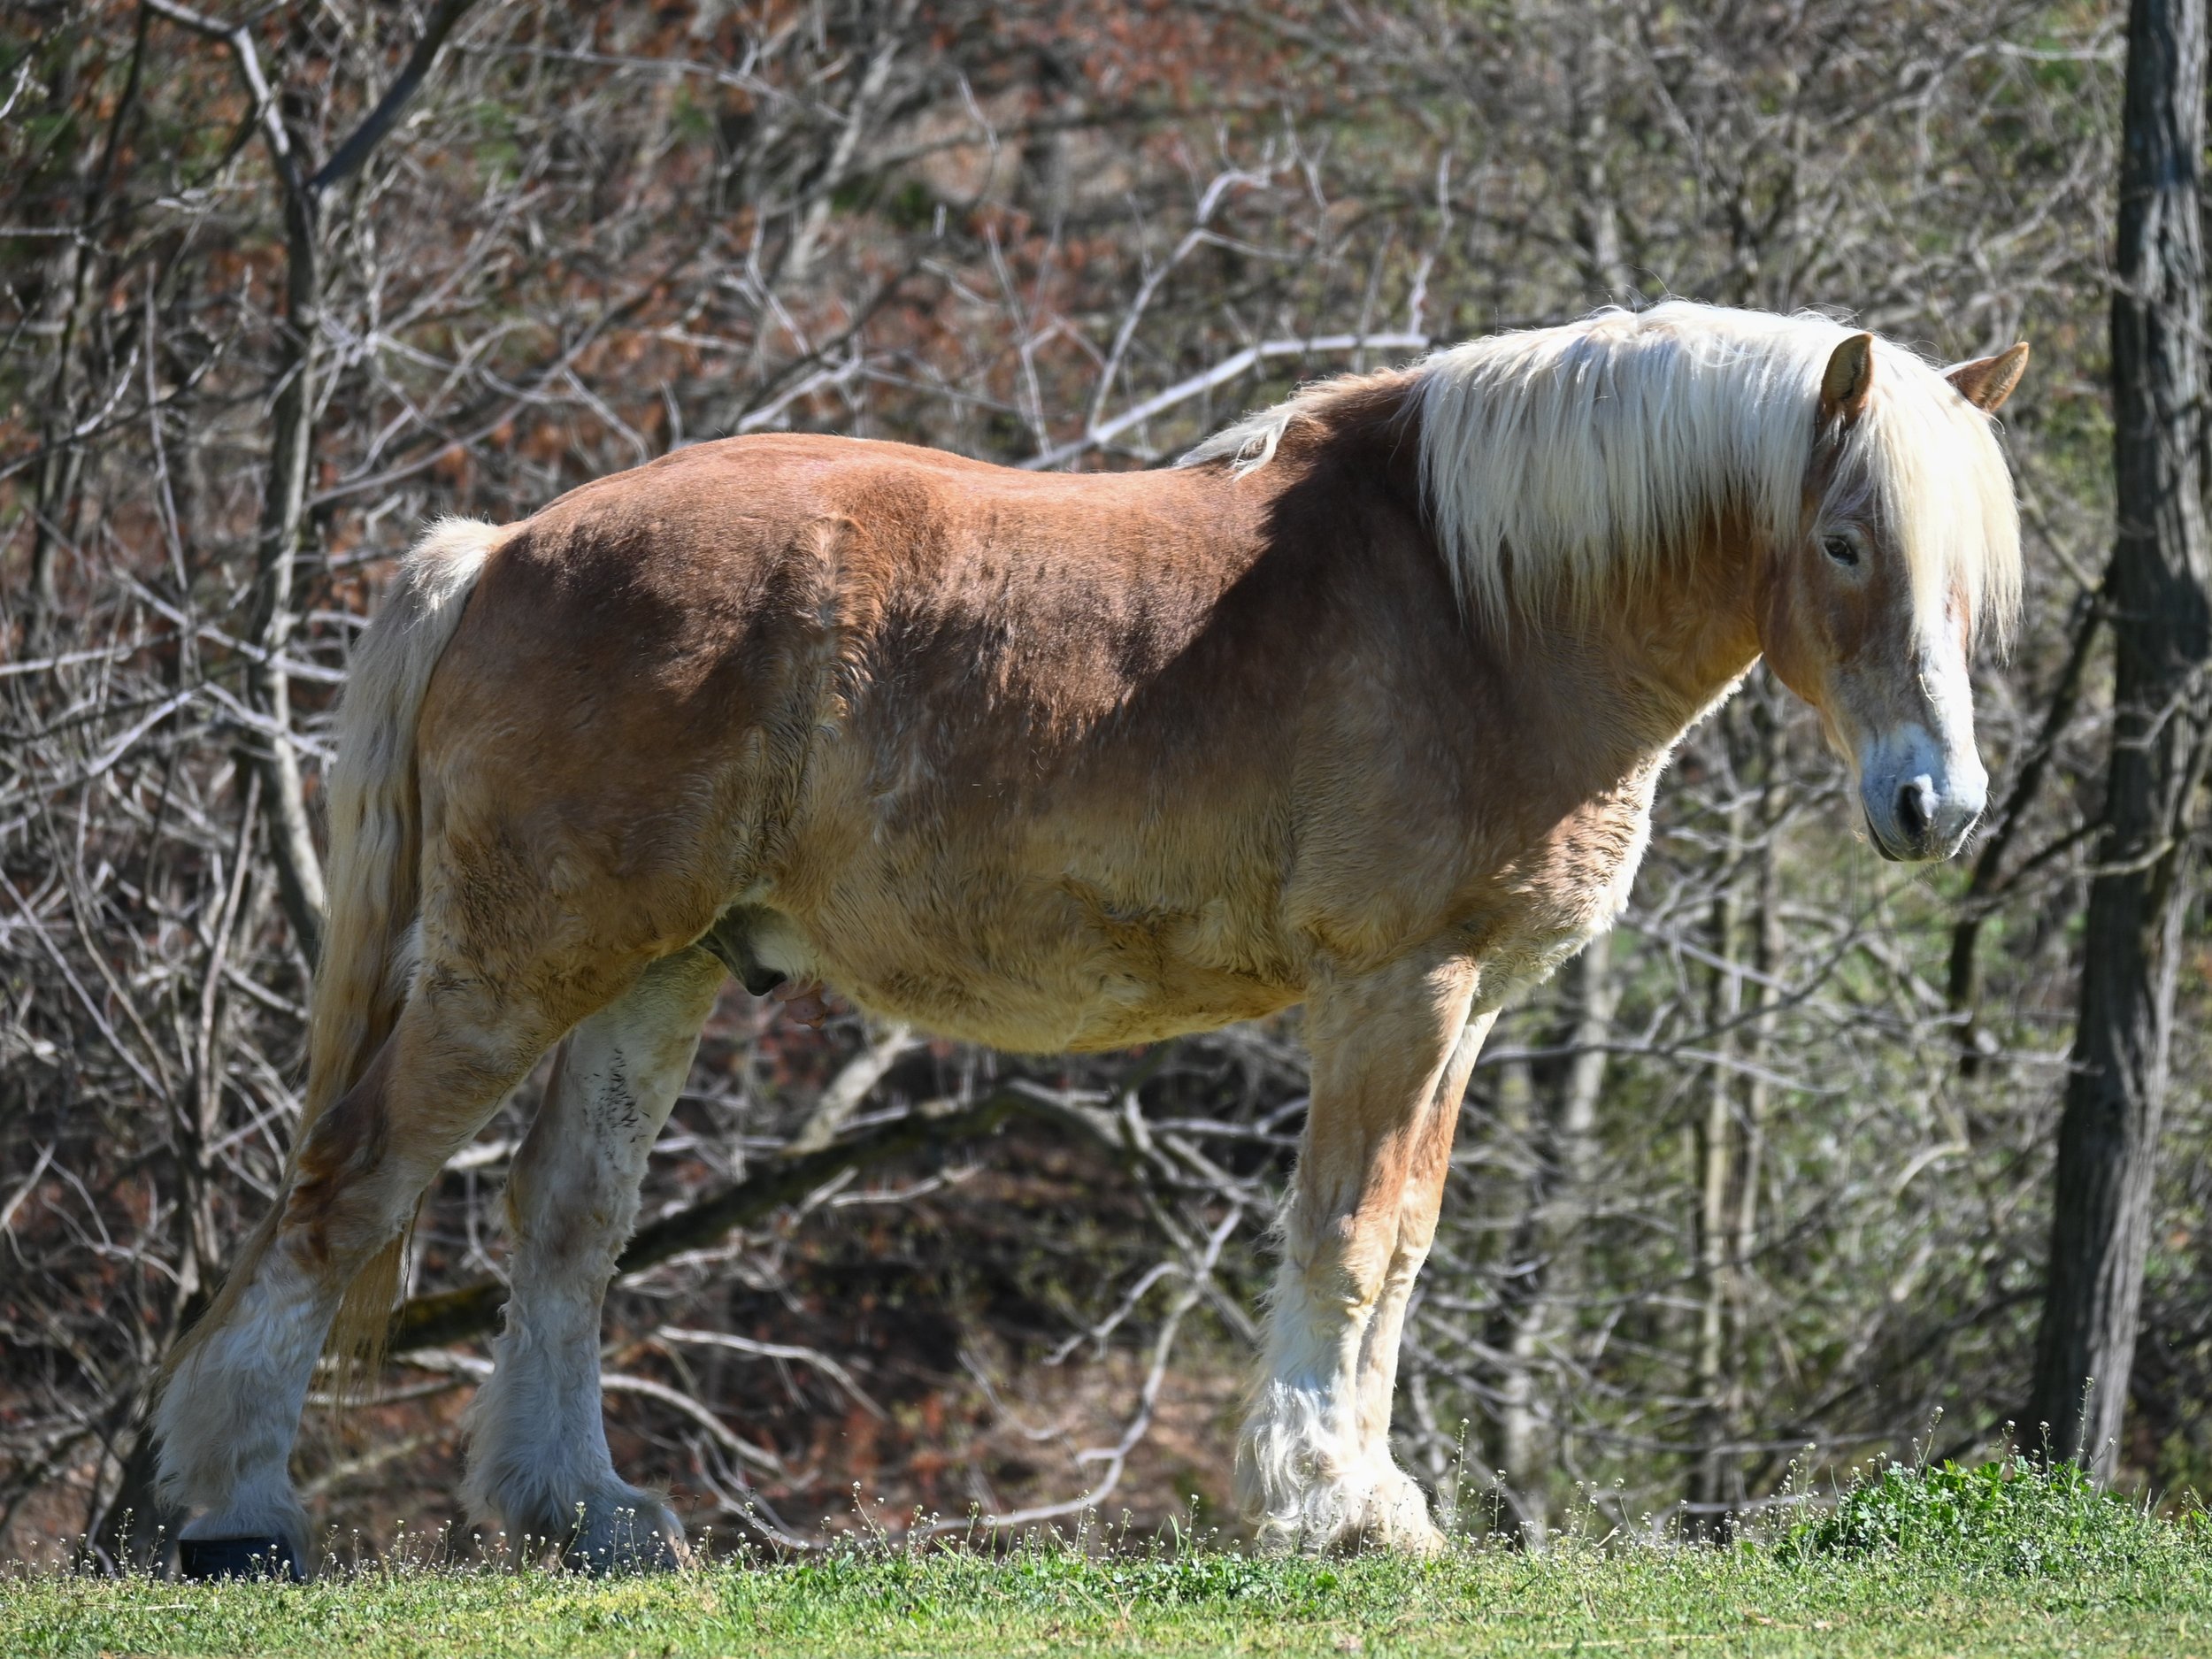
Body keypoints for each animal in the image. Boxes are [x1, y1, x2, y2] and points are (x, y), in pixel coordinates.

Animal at [151, 303, 2026, 1584]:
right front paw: (1329, 1504)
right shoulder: (1397, 992)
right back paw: (238, 1506)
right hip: (519, 963)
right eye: (1844, 542)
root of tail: (503, 554)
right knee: (352, 1184)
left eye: (1973, 581)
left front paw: (1365, 1493)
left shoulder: (1466, 1008)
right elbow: (1353, 1243)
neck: (1477, 604)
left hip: (658, 972)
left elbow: (1406, 1247)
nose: (1935, 803)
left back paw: (585, 1512)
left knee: (568, 1226)